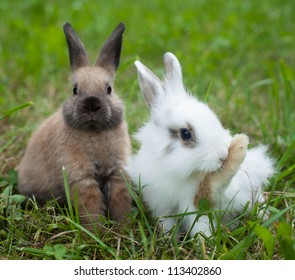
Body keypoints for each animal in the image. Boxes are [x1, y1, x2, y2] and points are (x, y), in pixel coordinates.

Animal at [18, 21, 132, 228]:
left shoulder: (117, 174)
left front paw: (123, 226)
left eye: (109, 89)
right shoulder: (81, 179)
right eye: (75, 89)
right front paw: (97, 231)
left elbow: (121, 200)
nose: (92, 103)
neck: (94, 131)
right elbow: (91, 206)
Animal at [127, 52, 276, 236]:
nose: (223, 156)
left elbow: (200, 226)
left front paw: (206, 241)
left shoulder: (195, 206)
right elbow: (167, 225)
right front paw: (169, 238)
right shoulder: (161, 207)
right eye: (185, 134)